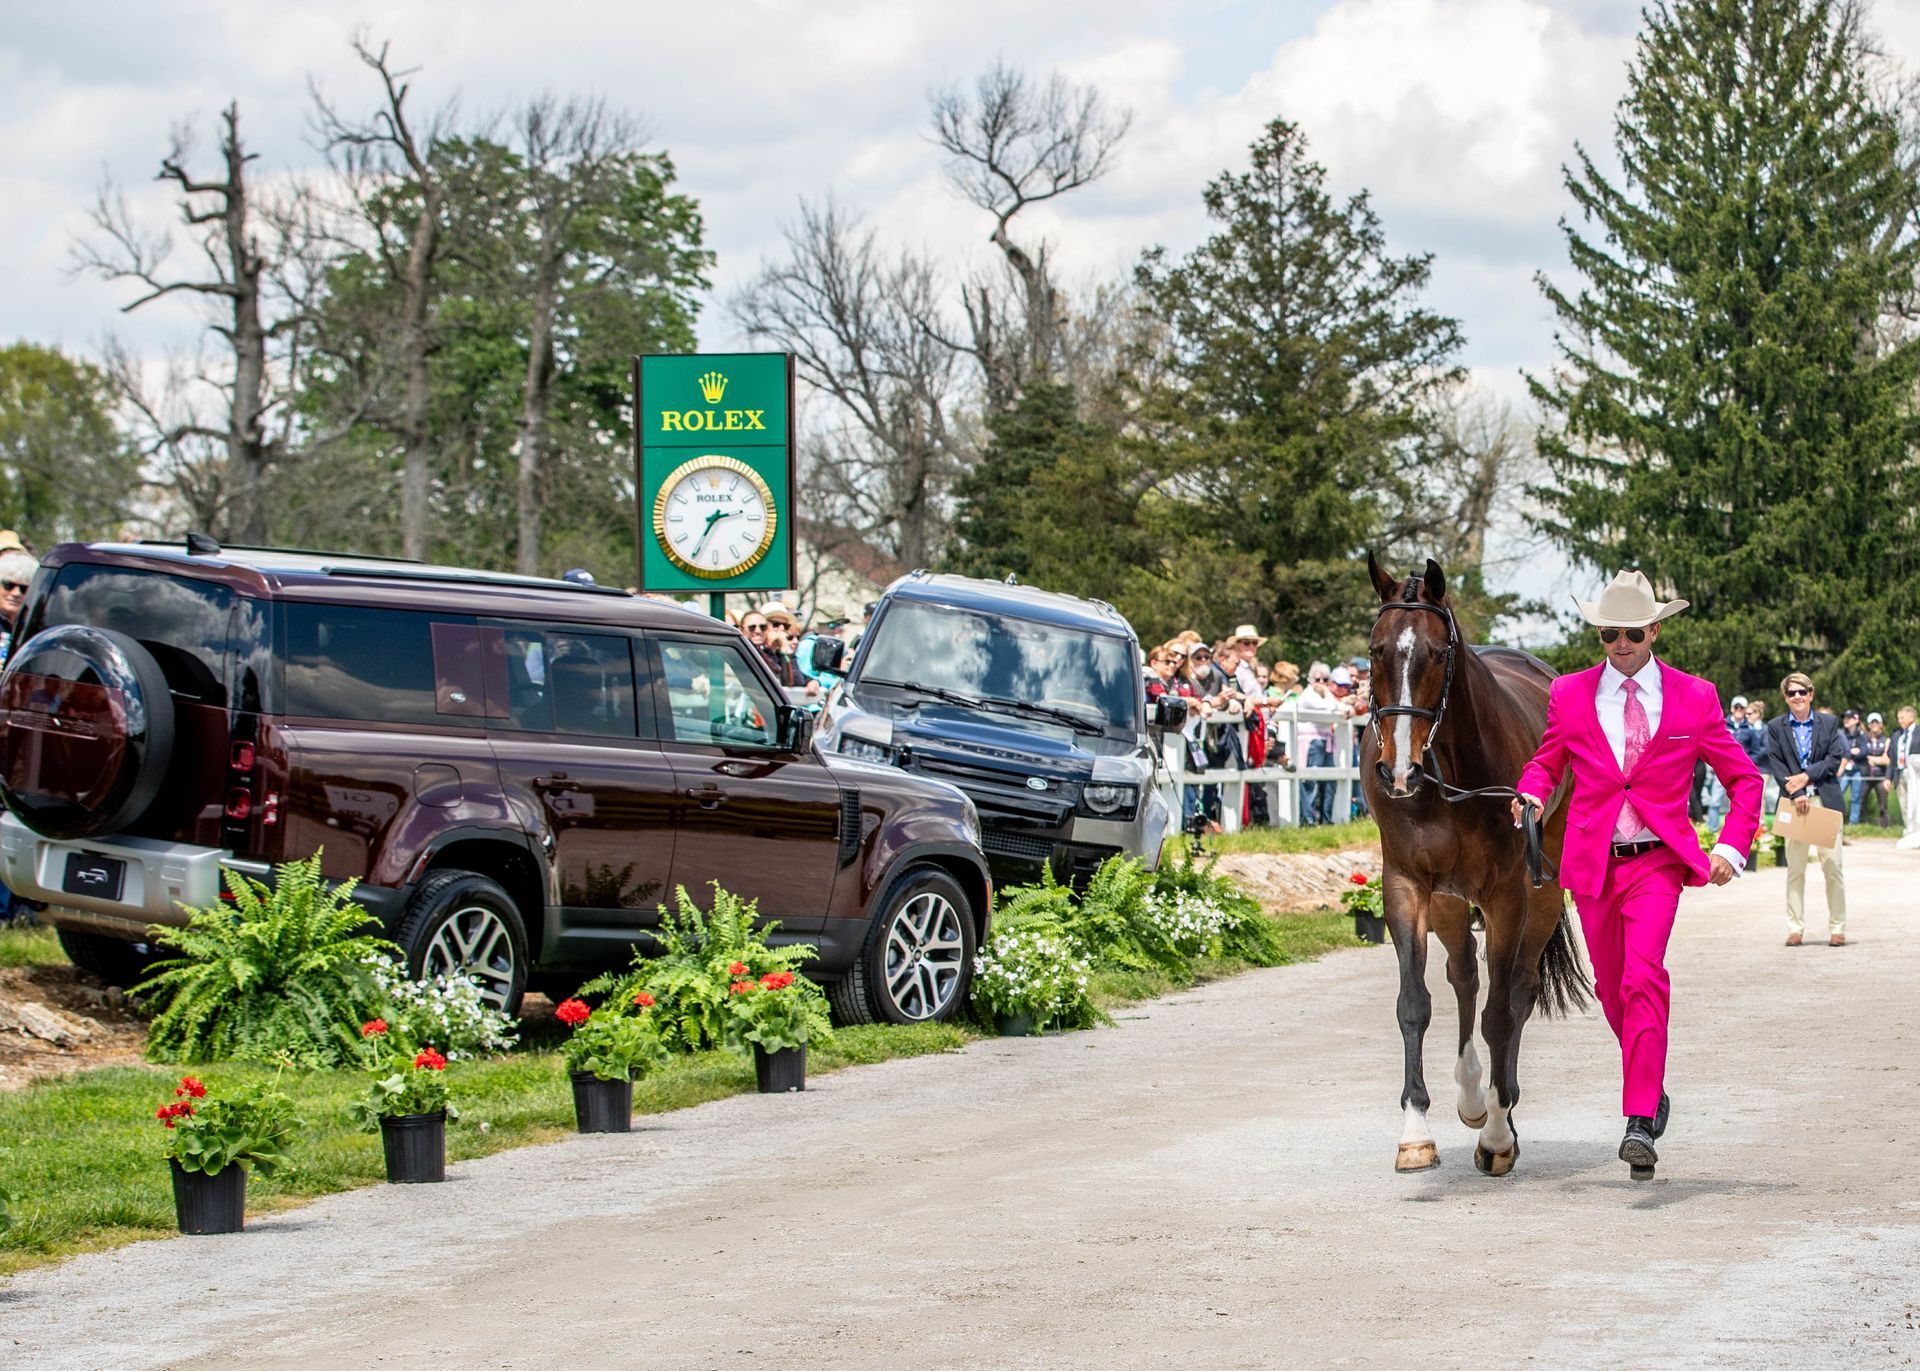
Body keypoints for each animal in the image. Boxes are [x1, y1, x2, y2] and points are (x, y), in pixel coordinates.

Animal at [1367, 549, 1589, 1167]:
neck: (1448, 776)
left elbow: (1501, 1012)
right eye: (1375, 649)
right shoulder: (1407, 884)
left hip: (1541, 886)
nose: (1397, 770)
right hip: (1447, 897)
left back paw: (1499, 1111)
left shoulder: (1508, 893)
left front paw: (1496, 1134)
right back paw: (1470, 1096)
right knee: (1464, 974)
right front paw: (1415, 1131)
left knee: (1516, 990)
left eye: (1438, 653)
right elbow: (1414, 1004)